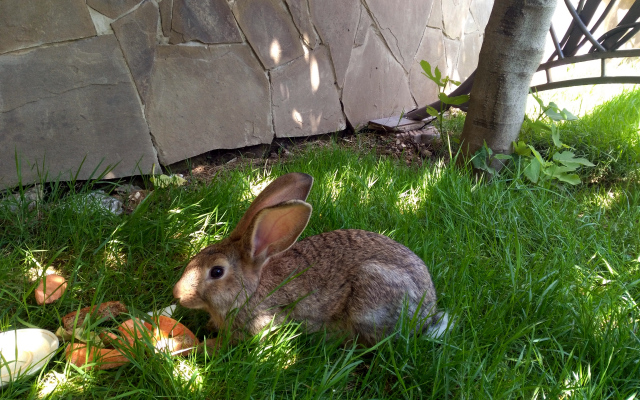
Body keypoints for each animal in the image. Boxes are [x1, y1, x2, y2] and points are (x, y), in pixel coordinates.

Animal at [172, 172, 448, 346]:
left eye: (217, 272)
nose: (178, 293)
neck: (250, 290)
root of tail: (427, 313)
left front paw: (201, 347)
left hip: (372, 295)